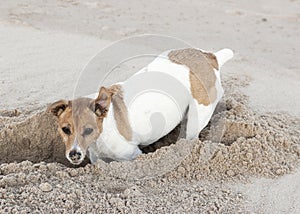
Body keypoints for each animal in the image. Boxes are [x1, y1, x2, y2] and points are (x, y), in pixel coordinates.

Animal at [48, 48, 233, 165]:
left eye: (88, 130)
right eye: (65, 129)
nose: (74, 154)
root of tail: (211, 57)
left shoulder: (133, 154)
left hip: (197, 117)